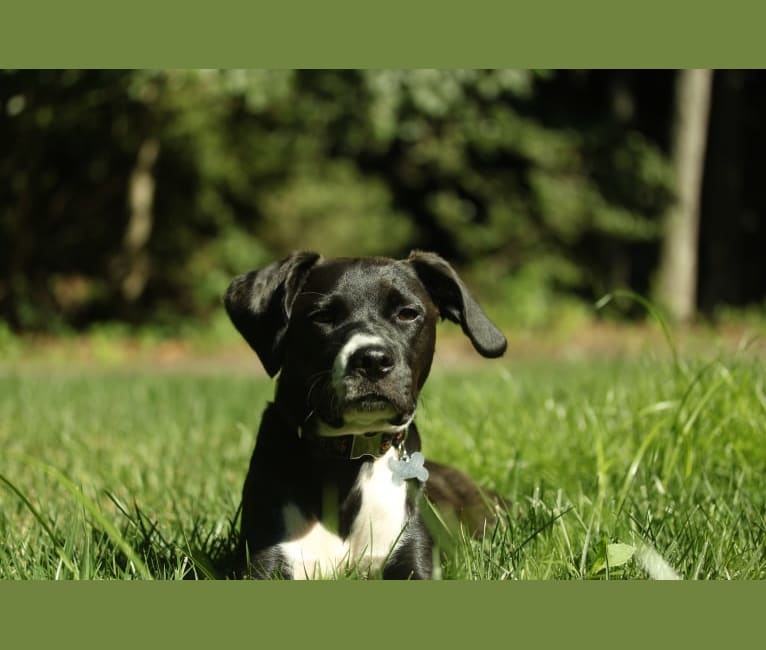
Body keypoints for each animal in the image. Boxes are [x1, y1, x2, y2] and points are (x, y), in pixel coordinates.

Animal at [225, 249, 508, 576]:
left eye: (407, 313)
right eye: (322, 316)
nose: (372, 359)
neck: (347, 462)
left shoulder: (413, 556)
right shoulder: (264, 560)